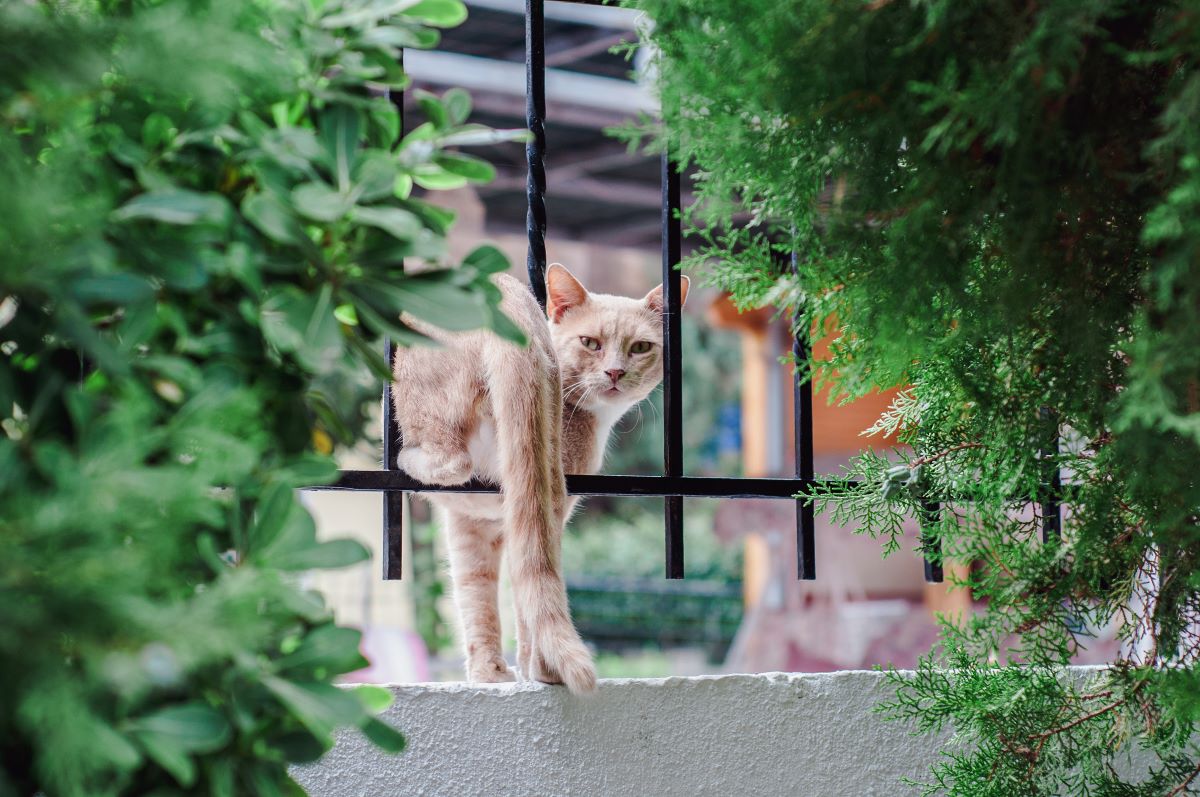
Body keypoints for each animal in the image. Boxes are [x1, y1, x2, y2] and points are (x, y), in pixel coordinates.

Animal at [393, 264, 691, 696]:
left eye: (640, 347)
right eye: (590, 343)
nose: (616, 371)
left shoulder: (484, 521)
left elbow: (487, 596)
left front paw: (512, 671)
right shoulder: (484, 521)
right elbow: (483, 597)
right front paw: (503, 672)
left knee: (452, 461)